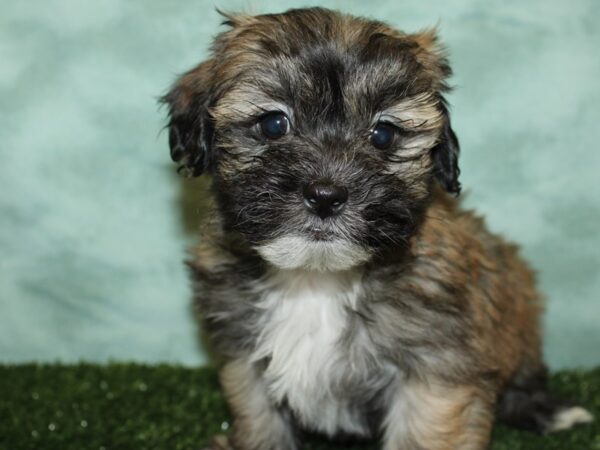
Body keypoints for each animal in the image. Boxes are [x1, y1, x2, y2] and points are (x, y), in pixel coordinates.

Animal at [162, 7, 592, 450]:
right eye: (274, 124)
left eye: (383, 134)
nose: (326, 195)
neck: (317, 279)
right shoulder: (245, 361)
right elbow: (261, 424)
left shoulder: (435, 368)